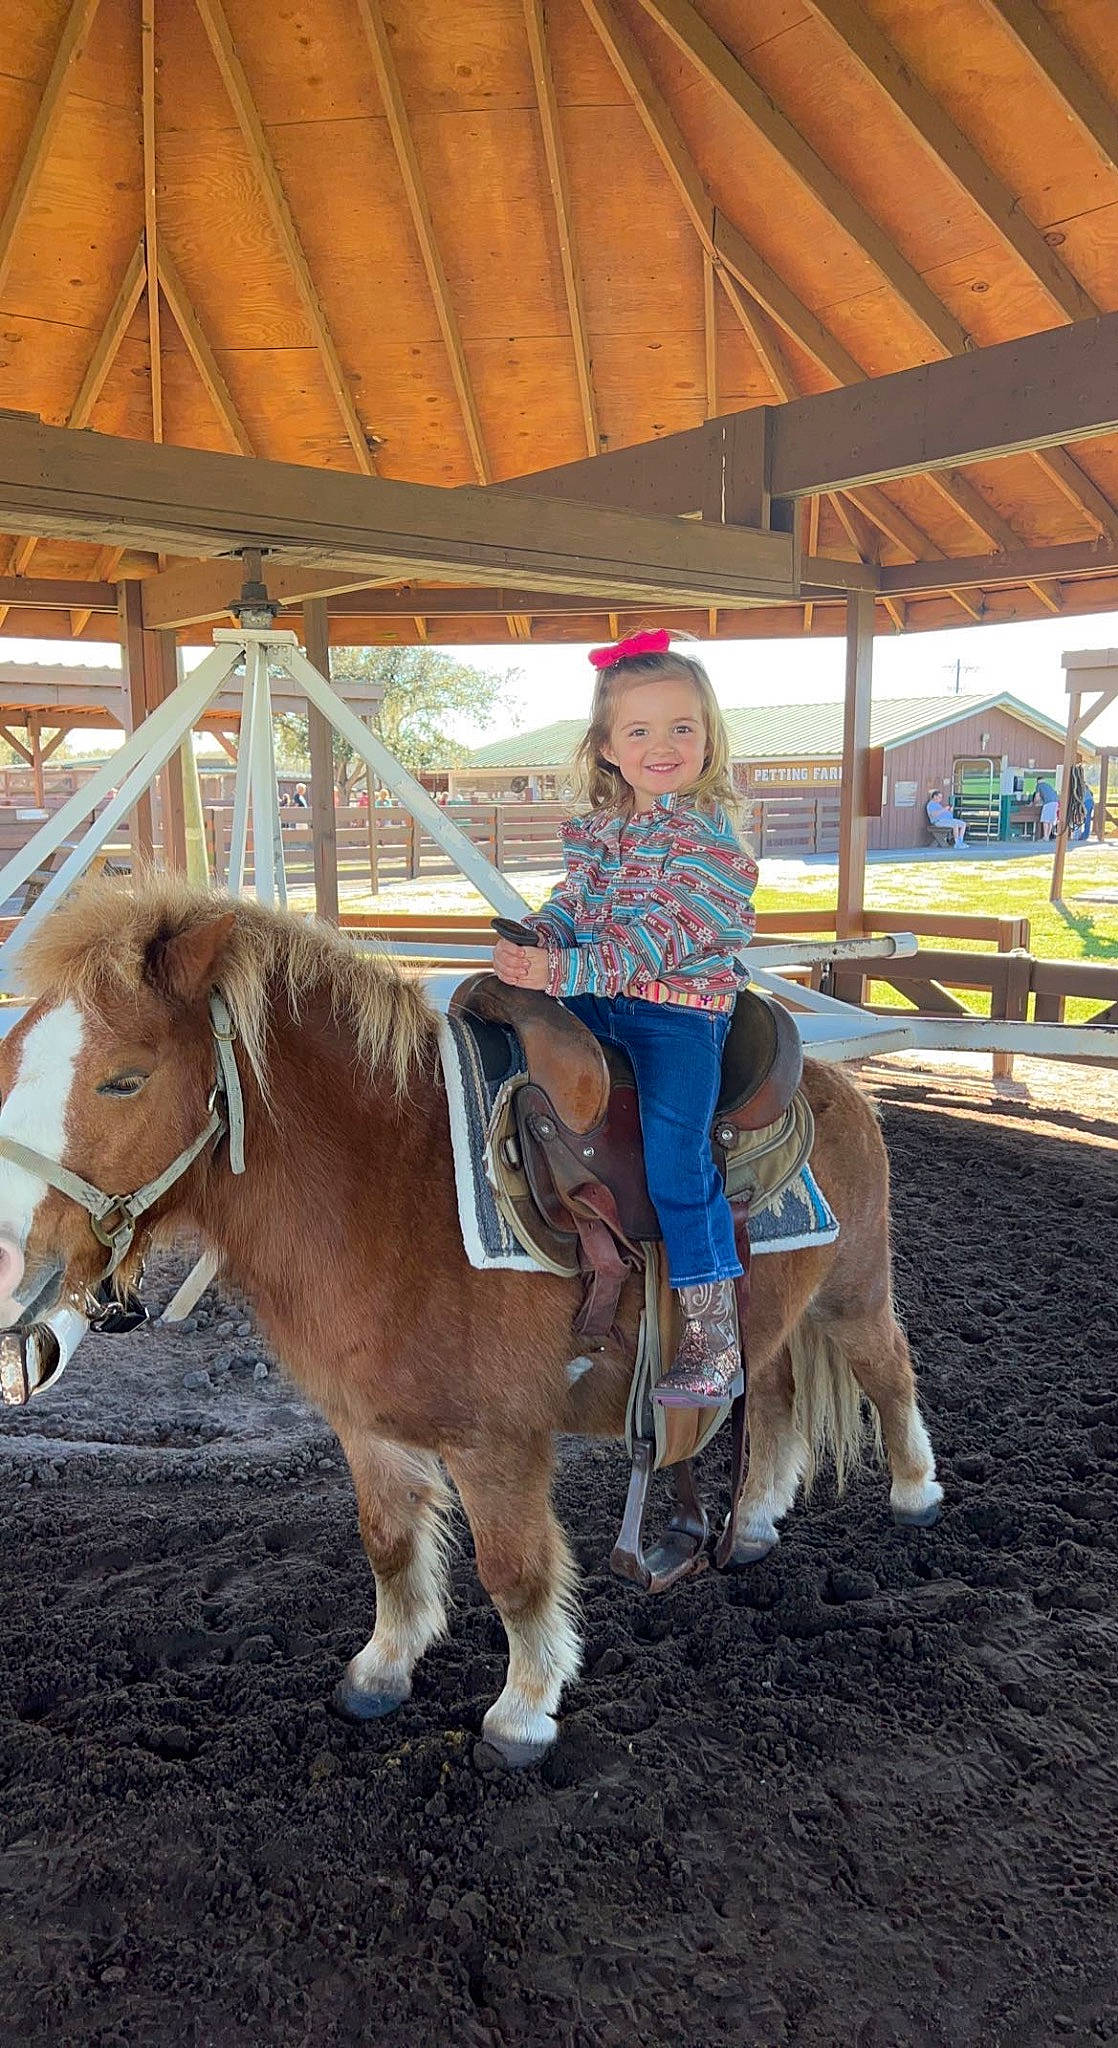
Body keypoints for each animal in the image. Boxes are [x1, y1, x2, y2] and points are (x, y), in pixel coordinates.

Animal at [0, 876, 942, 1766]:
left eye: (125, 1078)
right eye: (9, 1061)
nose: (9, 1268)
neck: (393, 1188)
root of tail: (832, 1078)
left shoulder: (499, 1441)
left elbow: (514, 1571)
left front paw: (523, 1710)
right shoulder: (366, 1425)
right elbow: (388, 1543)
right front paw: (381, 1671)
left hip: (855, 1292)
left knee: (889, 1373)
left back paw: (916, 1495)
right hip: (774, 1315)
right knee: (775, 1398)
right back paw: (751, 1526)